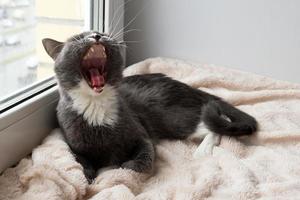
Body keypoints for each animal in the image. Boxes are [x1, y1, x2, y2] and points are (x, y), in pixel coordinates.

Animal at [42, 31, 258, 183]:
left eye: (102, 32)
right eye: (77, 38)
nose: (96, 36)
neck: (97, 105)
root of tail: (187, 87)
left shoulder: (139, 131)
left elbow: (142, 158)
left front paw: (122, 166)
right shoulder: (73, 143)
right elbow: (80, 161)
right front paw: (89, 176)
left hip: (173, 117)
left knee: (212, 126)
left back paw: (202, 151)